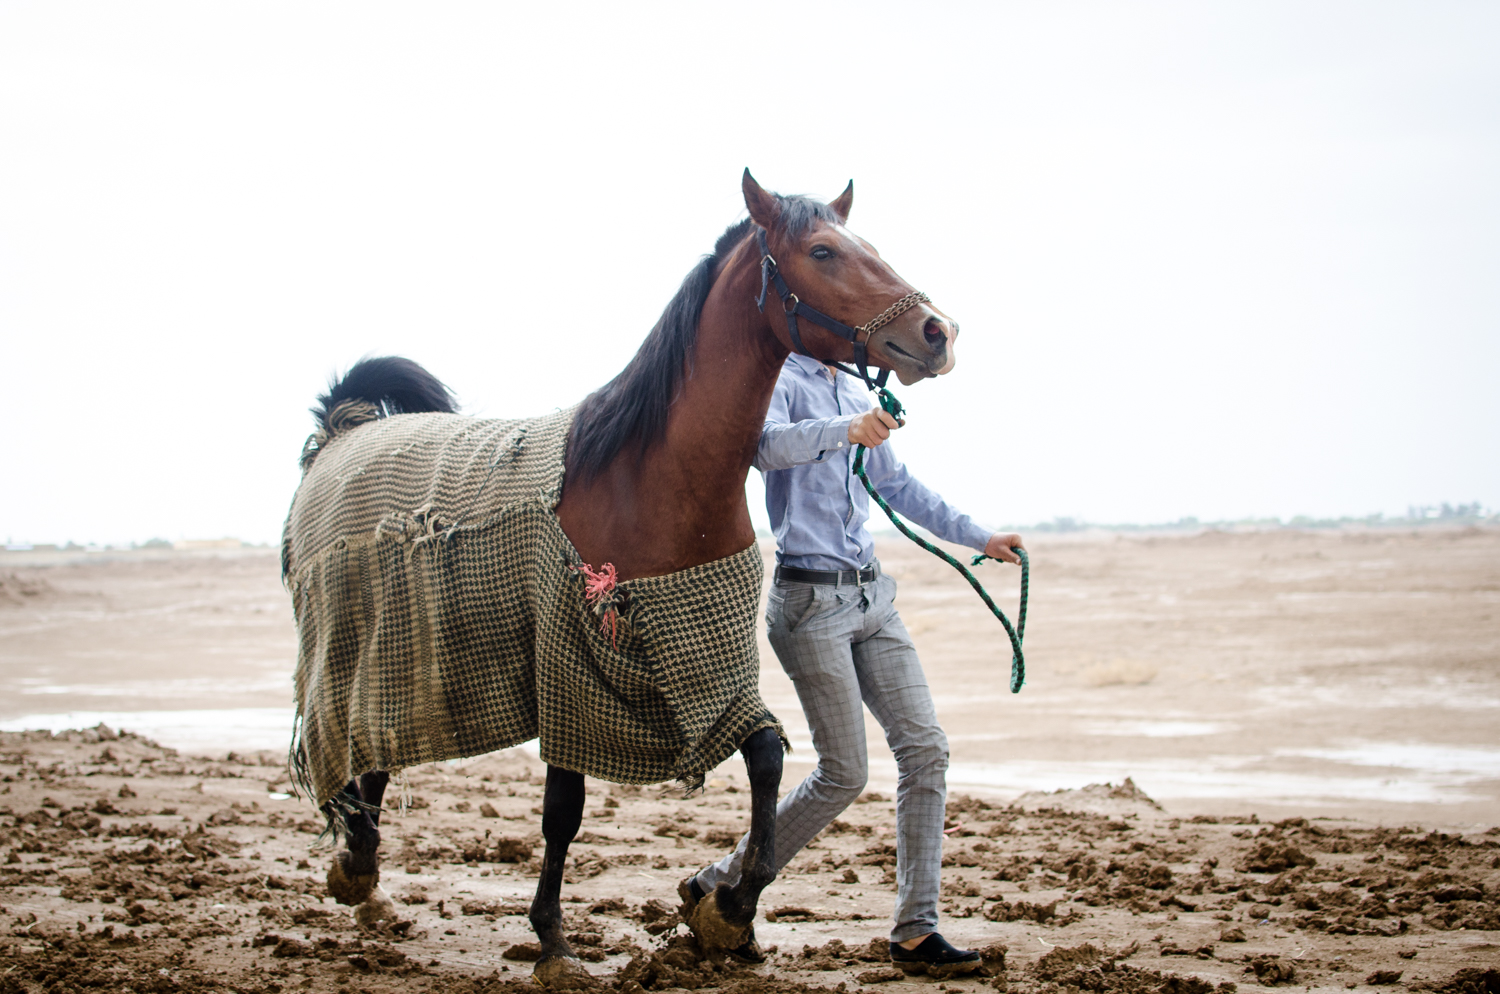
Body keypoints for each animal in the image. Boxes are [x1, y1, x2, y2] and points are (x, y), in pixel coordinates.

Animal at [282, 170, 959, 986]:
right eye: (823, 250)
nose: (937, 333)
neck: (646, 474)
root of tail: (339, 436)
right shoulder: (569, 666)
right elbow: (562, 808)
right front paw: (553, 943)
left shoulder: (708, 655)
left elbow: (766, 758)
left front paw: (729, 912)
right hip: (356, 645)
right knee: (356, 745)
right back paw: (356, 865)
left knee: (378, 747)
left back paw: (365, 875)